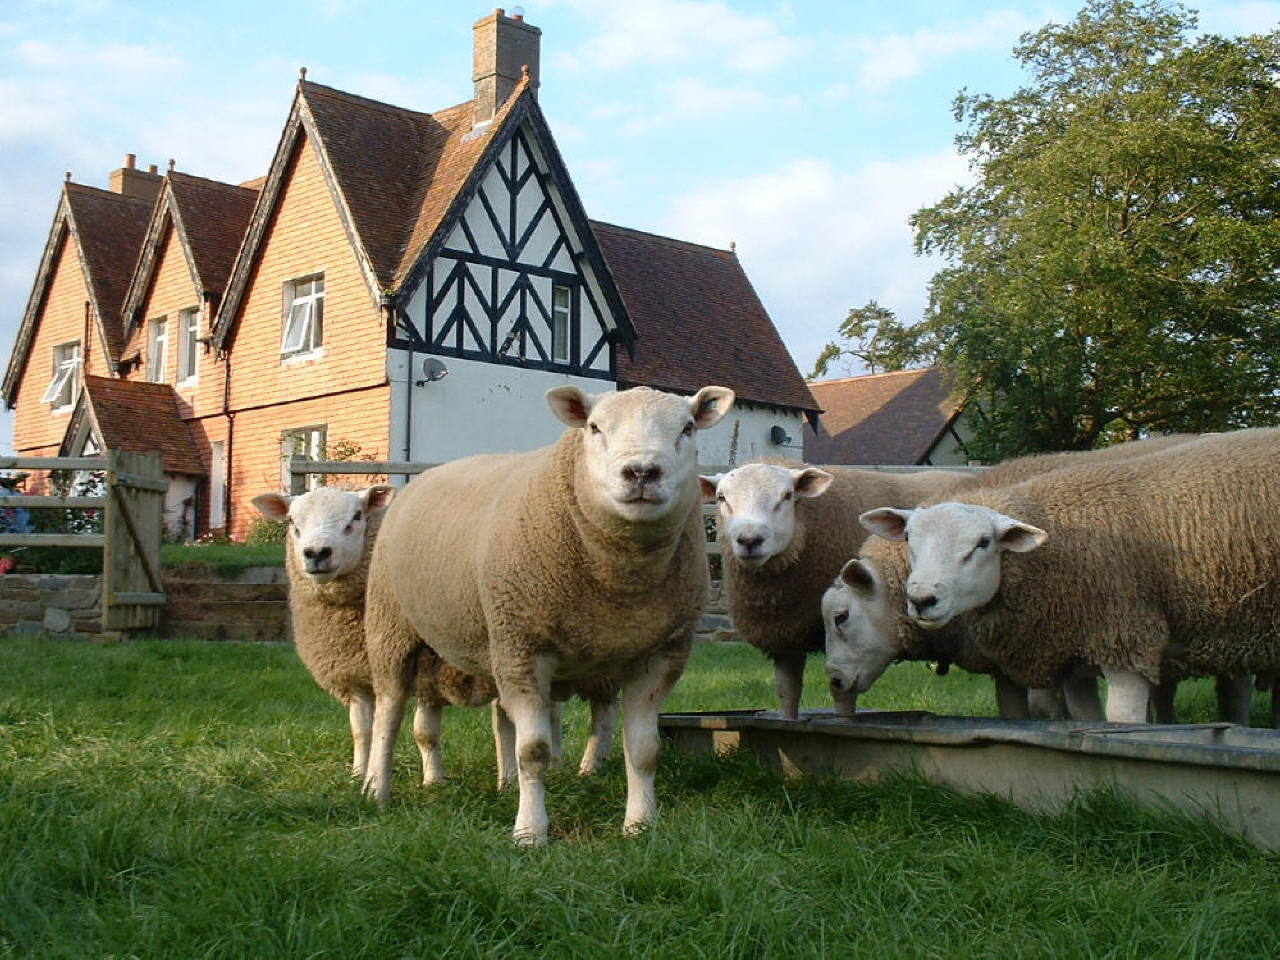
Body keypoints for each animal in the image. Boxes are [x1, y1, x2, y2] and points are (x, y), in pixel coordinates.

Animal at [366, 384, 737, 839]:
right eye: (594, 427)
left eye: (687, 428)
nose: (641, 472)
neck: (622, 584)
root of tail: (427, 474)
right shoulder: (523, 647)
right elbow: (533, 751)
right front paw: (530, 831)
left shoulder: (660, 653)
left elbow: (644, 750)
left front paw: (640, 824)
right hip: (391, 628)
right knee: (388, 714)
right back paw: (377, 790)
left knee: (498, 720)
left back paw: (504, 785)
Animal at [701, 463, 967, 716]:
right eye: (721, 497)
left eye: (787, 495)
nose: (749, 540)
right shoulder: (785, 636)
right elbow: (787, 693)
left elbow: (841, 692)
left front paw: (844, 720)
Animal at [855, 427, 1280, 721]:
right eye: (909, 538)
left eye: (983, 543)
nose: (922, 599)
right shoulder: (1071, 651)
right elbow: (1083, 720)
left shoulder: (1125, 636)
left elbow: (1119, 721)